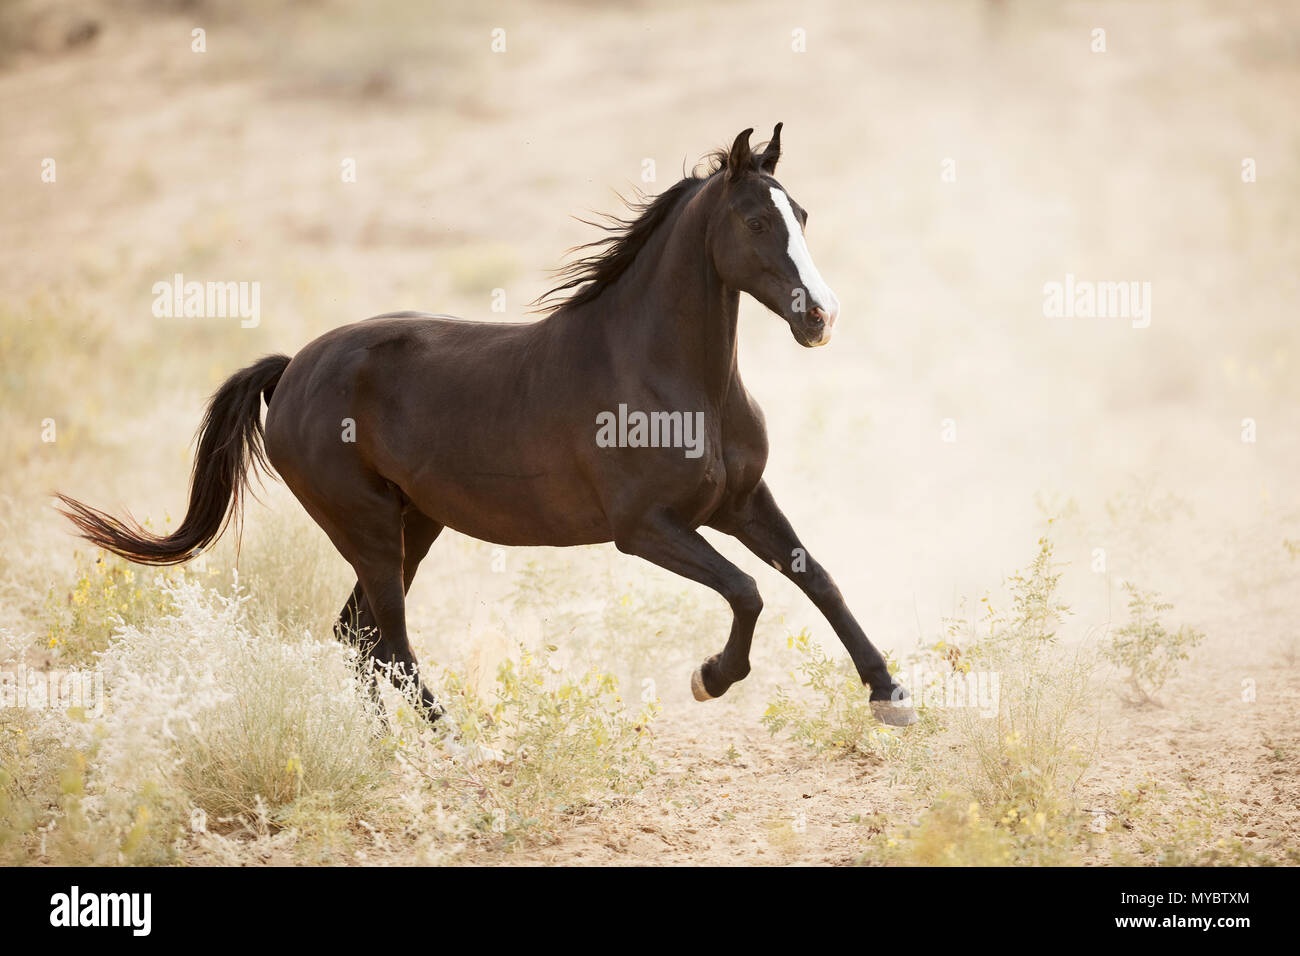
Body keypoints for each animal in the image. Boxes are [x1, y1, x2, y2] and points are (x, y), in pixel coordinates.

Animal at [58, 125, 915, 723]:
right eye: (752, 220)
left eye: (800, 213)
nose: (820, 318)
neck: (672, 378)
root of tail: (293, 368)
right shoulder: (647, 529)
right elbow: (748, 592)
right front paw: (710, 679)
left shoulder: (739, 502)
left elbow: (817, 577)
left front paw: (890, 692)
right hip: (370, 529)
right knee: (389, 645)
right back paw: (453, 742)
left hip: (415, 527)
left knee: (357, 637)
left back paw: (390, 751)